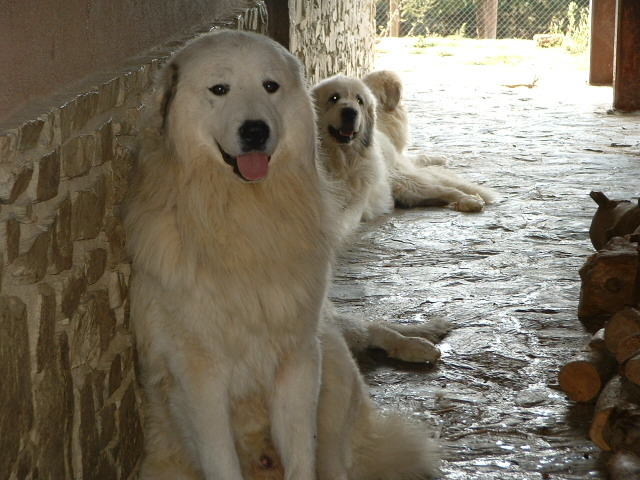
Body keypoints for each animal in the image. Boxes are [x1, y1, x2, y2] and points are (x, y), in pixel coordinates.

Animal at [124, 30, 440, 480]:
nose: (255, 130)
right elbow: (221, 461)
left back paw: (419, 345)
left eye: (270, 86)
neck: (247, 216)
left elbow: (302, 456)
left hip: (331, 363)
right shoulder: (200, 377)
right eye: (219, 89)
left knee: (367, 335)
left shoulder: (299, 358)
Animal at [312, 71, 498, 238]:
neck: (339, 160)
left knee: (445, 189)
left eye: (359, 101)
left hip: (406, 184)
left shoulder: (355, 205)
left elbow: (338, 225)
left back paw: (470, 201)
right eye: (334, 98)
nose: (351, 112)